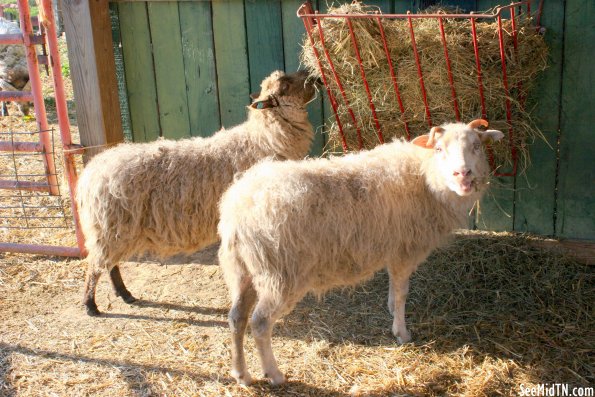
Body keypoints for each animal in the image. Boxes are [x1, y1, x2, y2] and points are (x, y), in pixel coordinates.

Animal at [78, 69, 322, 316]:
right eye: (284, 85)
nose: (314, 77)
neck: (263, 139)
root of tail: (90, 173)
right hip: (110, 227)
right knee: (96, 265)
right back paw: (91, 305)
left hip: (113, 230)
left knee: (109, 263)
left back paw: (124, 294)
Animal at [217, 118, 506, 384]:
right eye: (439, 149)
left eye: (477, 146)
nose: (463, 174)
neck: (424, 177)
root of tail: (237, 208)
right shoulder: (405, 250)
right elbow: (402, 292)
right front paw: (401, 332)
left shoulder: (393, 248)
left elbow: (393, 288)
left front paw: (391, 310)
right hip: (280, 274)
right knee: (260, 323)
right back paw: (274, 374)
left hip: (244, 271)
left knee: (236, 318)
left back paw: (241, 374)